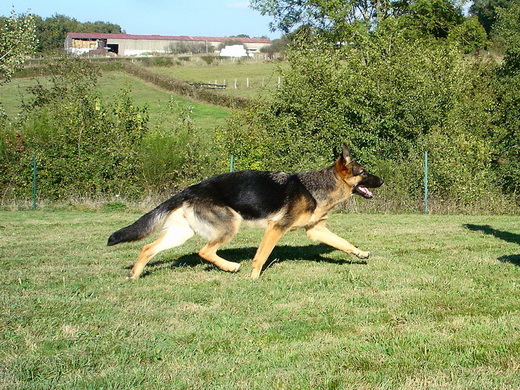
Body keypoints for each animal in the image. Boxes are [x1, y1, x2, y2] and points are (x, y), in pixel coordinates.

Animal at [106, 145, 382, 278]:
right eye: (364, 172)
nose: (382, 180)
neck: (318, 187)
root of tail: (189, 190)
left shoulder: (316, 231)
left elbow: (344, 243)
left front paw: (360, 253)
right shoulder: (276, 228)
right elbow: (261, 256)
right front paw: (254, 277)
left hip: (180, 234)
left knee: (147, 247)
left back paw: (135, 275)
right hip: (230, 225)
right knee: (204, 251)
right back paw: (230, 267)